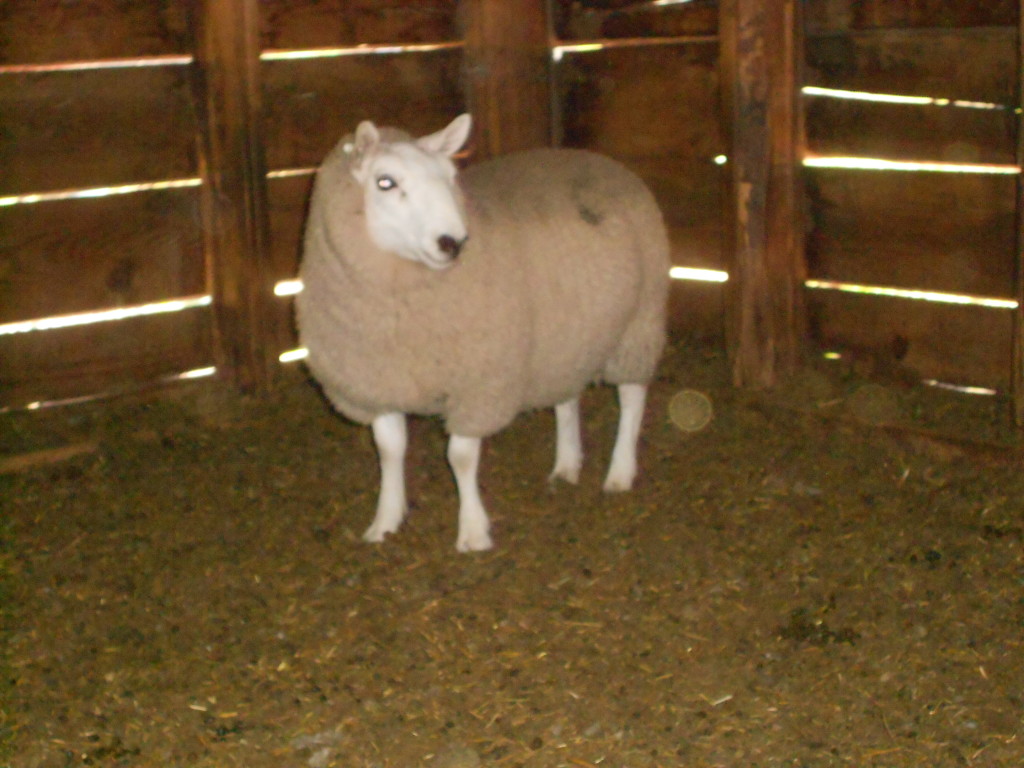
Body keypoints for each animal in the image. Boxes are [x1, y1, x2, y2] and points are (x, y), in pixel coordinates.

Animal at [296, 113, 670, 552]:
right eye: (384, 182)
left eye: (450, 177)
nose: (452, 242)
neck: (400, 314)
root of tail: (598, 159)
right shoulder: (379, 383)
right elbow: (389, 450)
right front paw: (385, 522)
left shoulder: (479, 383)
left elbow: (459, 457)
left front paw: (473, 532)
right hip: (566, 336)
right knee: (566, 398)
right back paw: (566, 465)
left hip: (639, 323)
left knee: (631, 397)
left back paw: (620, 472)